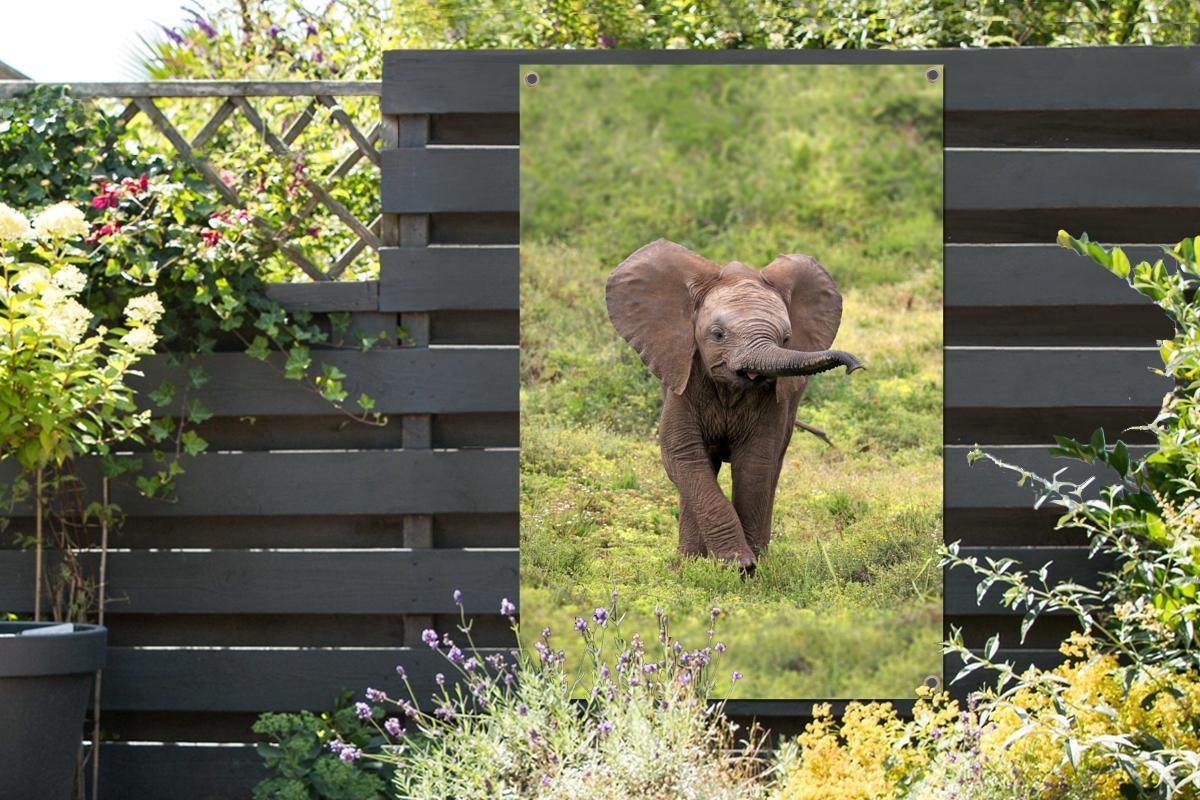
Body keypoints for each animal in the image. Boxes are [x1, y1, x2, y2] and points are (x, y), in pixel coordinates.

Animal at [609, 237, 864, 568]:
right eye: (717, 335)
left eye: (786, 339)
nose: (854, 366)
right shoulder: (682, 379)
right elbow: (683, 455)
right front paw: (735, 564)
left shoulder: (774, 400)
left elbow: (756, 461)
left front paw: (751, 566)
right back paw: (688, 564)